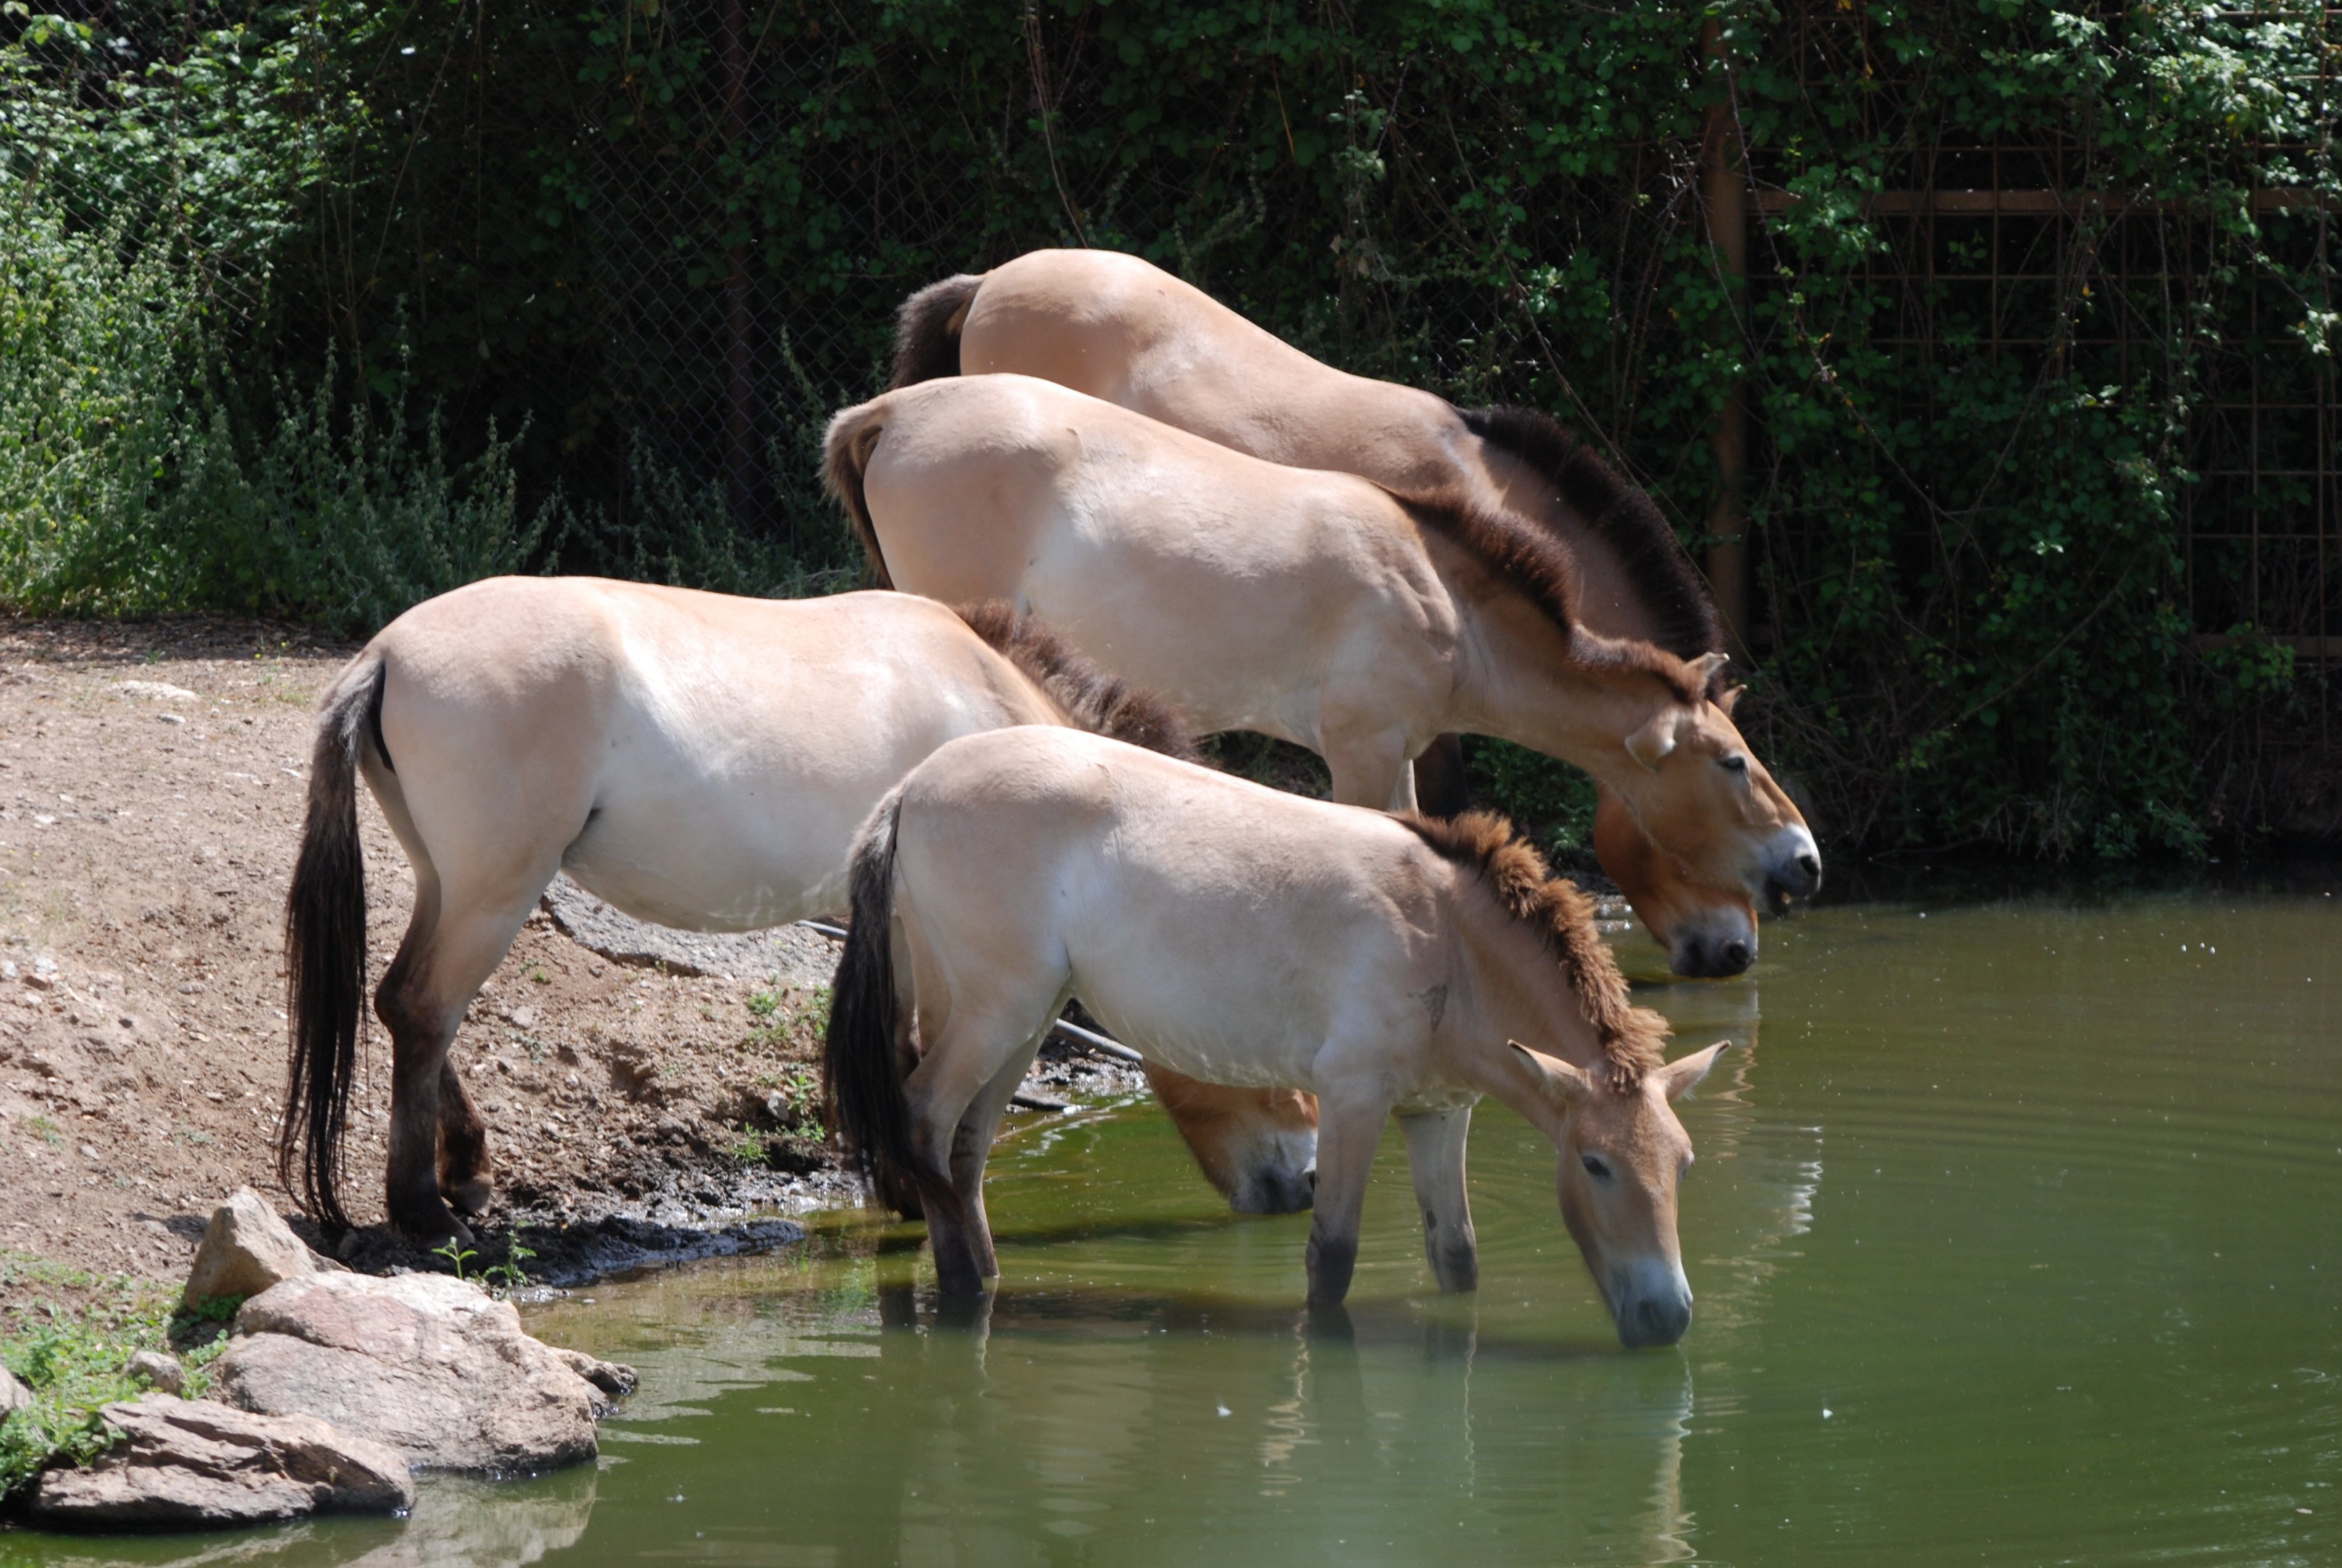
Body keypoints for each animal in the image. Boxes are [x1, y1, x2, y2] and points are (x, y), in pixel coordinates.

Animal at [277, 578, 1313, 1246]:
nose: (1298, 1186)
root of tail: (388, 652)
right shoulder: (927, 935)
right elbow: (912, 1055)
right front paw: (911, 1190)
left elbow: (894, 1046)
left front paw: (899, 1185)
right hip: (496, 889)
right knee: (425, 1009)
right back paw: (421, 1208)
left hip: (455, 882)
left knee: (407, 1005)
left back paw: (468, 1173)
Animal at [823, 374, 1821, 912]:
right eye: (1732, 762)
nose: (1805, 861)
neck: (1445, 600)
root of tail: (894, 410)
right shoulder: (1362, 752)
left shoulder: (1402, 752)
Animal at [824, 726, 1728, 1346]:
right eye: (1596, 1164)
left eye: (1682, 1163)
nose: (1668, 1317)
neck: (1449, 941)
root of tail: (910, 789)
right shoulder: (1354, 1101)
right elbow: (1332, 1260)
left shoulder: (1439, 1113)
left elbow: (1457, 1255)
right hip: (995, 1015)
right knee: (924, 1123)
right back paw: (960, 1298)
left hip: (1022, 1022)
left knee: (965, 1149)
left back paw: (985, 1283)